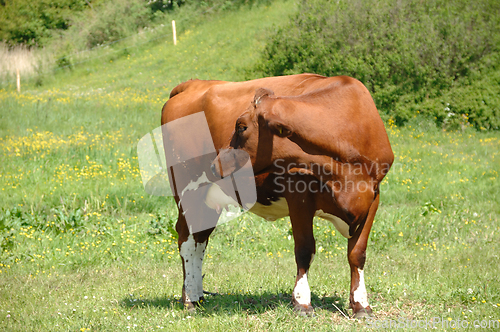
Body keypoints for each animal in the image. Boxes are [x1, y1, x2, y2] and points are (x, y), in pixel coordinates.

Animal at [162, 74, 392, 318]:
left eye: (241, 126)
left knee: (200, 239)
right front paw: (302, 302)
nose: (216, 165)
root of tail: (195, 83)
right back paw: (190, 299)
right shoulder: (299, 194)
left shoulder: (373, 197)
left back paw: (198, 296)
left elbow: (357, 253)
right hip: (187, 189)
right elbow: (305, 249)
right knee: (187, 241)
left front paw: (361, 305)